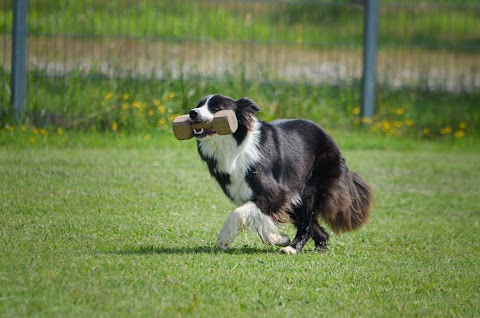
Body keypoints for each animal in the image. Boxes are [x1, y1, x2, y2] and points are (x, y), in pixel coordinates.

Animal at [188, 94, 372, 253]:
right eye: (199, 105)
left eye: (217, 108)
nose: (192, 112)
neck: (234, 147)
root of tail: (329, 137)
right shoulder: (257, 195)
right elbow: (262, 220)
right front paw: (279, 238)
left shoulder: (276, 192)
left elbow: (239, 212)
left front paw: (224, 237)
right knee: (313, 224)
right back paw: (319, 244)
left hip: (311, 184)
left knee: (306, 220)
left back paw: (293, 248)